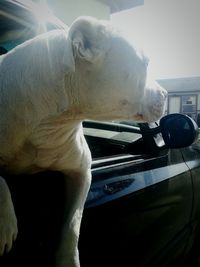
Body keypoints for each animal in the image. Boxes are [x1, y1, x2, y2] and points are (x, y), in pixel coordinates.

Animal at [0, 17, 166, 267]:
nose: (166, 94)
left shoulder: (81, 172)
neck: (52, 121)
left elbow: (73, 222)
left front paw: (68, 260)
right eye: (145, 63)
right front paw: (6, 224)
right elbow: (1, 181)